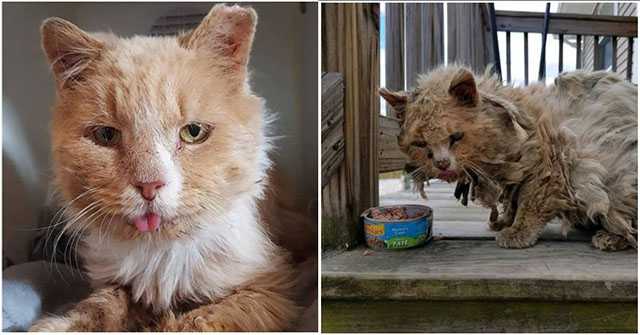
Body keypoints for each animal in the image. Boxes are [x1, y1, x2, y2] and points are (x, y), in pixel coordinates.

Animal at [30, 3, 312, 332]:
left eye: (193, 133)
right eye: (106, 135)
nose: (149, 186)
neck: (161, 256)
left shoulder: (267, 289)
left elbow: (192, 322)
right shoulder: (117, 281)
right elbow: (99, 306)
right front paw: (58, 325)